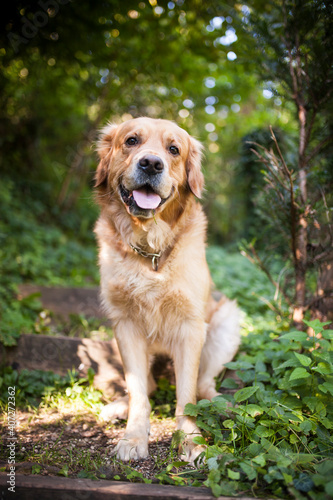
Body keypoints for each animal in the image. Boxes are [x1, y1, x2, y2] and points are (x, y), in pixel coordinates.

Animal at [93, 116, 239, 460]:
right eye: (131, 141)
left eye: (174, 150)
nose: (151, 163)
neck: (151, 251)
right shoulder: (125, 324)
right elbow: (138, 392)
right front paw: (134, 437)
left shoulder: (190, 327)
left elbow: (186, 396)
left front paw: (191, 440)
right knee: (146, 386)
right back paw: (118, 406)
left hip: (226, 322)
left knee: (204, 386)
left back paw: (221, 406)